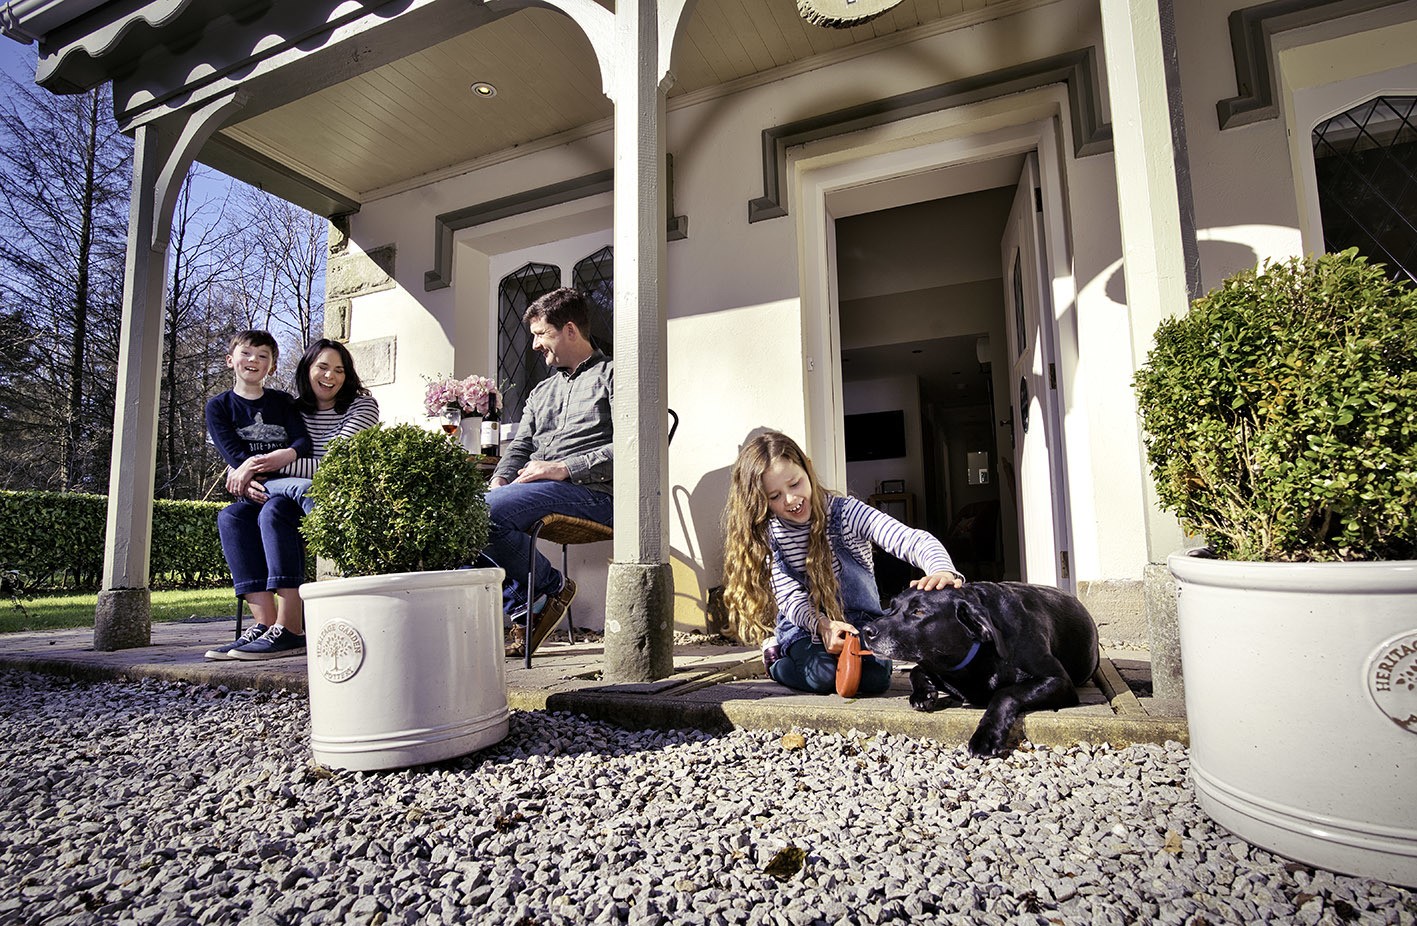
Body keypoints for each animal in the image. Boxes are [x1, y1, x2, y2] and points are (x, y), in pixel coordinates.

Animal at [855, 584, 1099, 760]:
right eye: (892, 607)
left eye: (919, 611)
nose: (866, 631)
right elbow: (916, 670)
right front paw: (924, 694)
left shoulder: (1059, 681)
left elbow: (1005, 693)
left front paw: (986, 737)